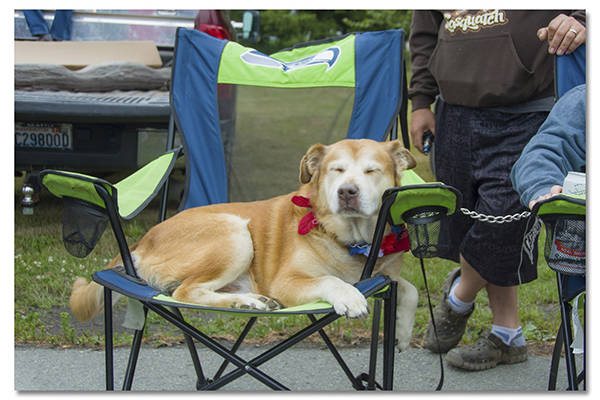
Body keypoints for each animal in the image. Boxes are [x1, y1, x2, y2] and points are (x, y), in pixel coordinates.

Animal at [69, 140, 418, 350]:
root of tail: (143, 240)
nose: (347, 192)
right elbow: (331, 280)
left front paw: (402, 335)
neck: (351, 241)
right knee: (185, 291)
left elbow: (411, 290)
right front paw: (350, 297)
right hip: (235, 233)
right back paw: (248, 302)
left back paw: (249, 301)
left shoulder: (386, 277)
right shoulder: (285, 281)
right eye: (337, 170)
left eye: (372, 171)